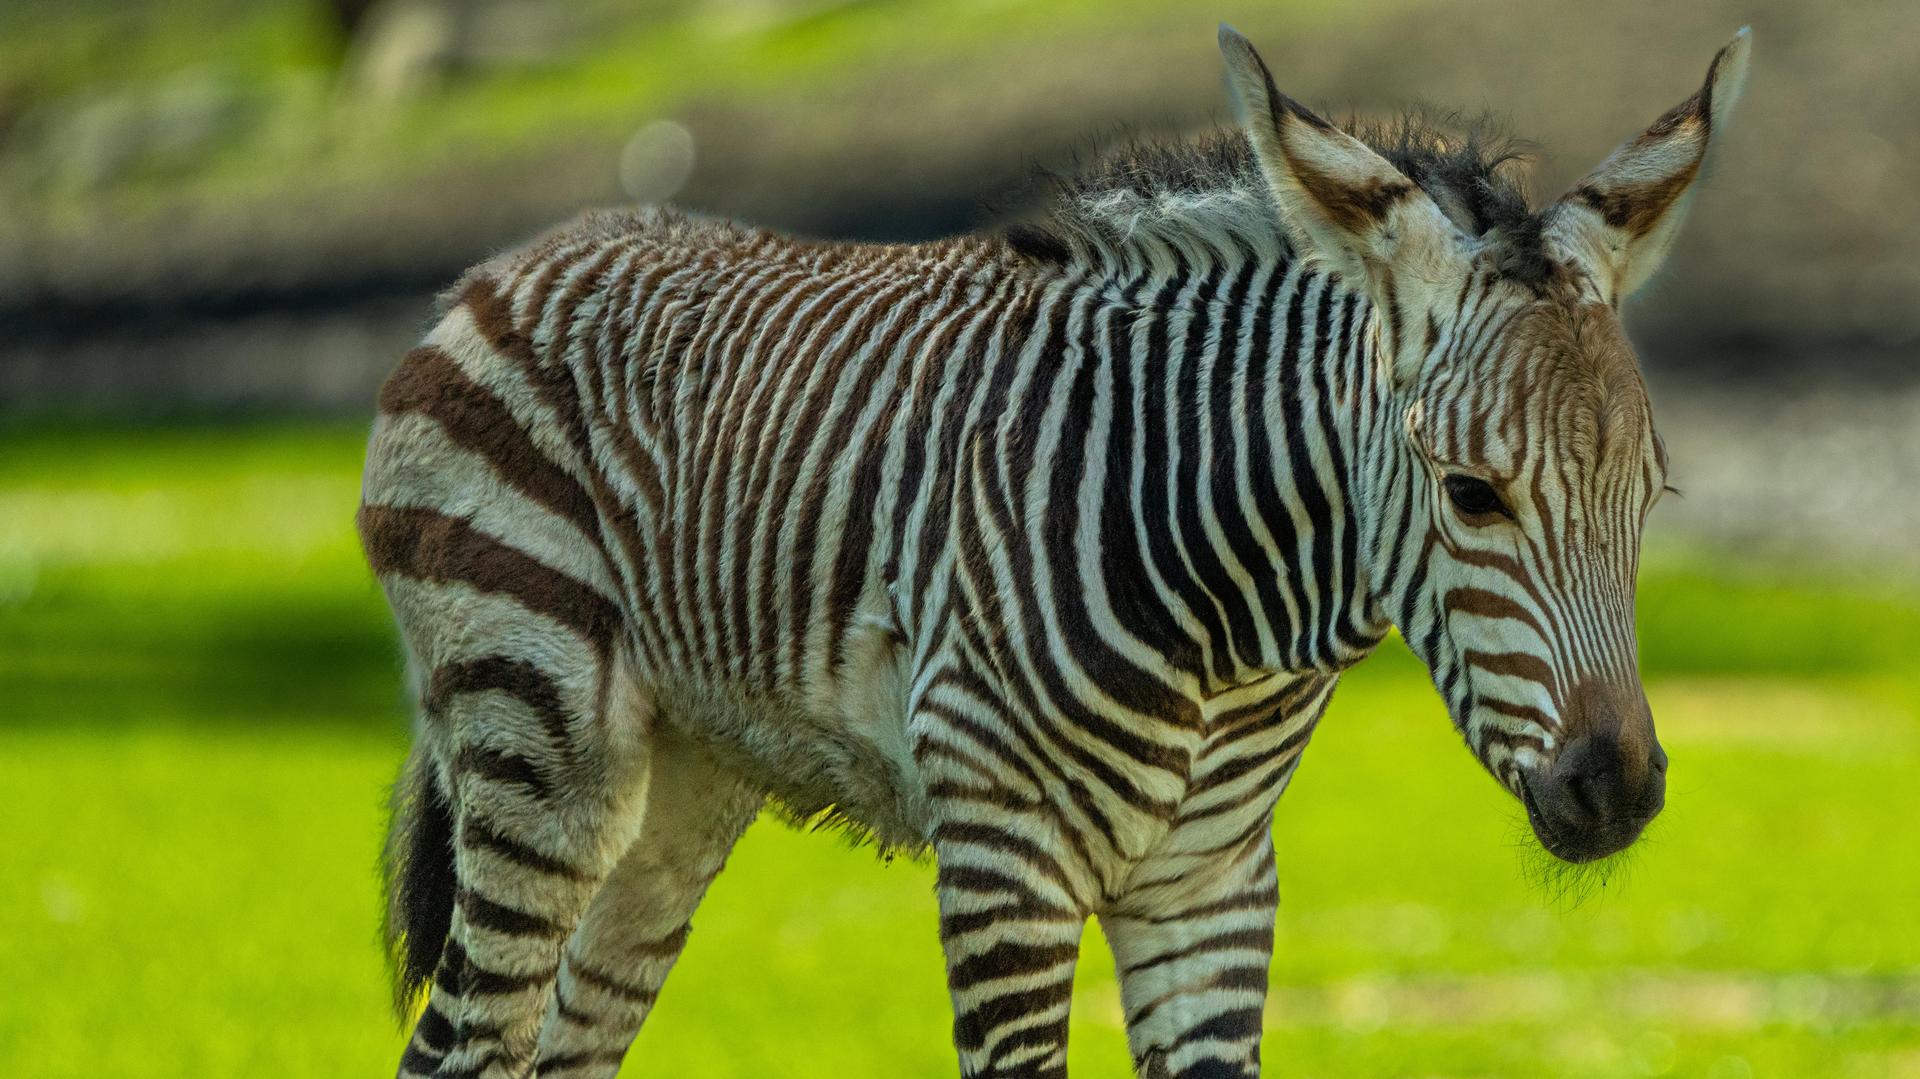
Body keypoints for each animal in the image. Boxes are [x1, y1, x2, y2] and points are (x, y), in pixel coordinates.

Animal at [357, 24, 1750, 1079]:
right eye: (1472, 494)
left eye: (1648, 498)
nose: (1620, 791)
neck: (1227, 606)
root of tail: (504, 267)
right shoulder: (1004, 857)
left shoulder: (1211, 885)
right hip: (540, 742)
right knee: (458, 1046)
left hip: (686, 779)